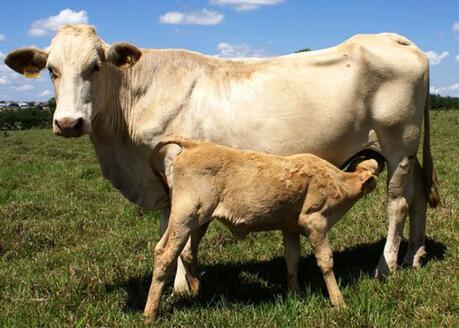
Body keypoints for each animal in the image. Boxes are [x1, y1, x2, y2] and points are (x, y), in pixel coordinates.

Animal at [5, 23, 440, 294]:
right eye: (52, 70)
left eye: (95, 66)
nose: (68, 122)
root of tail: (394, 39)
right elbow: (171, 225)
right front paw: (178, 282)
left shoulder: (175, 165)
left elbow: (179, 227)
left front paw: (179, 286)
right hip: (405, 151)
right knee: (418, 196)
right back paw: (415, 256)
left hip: (398, 142)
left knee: (397, 204)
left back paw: (386, 266)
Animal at [145, 135, 380, 320]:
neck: (338, 182)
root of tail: (194, 144)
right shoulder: (315, 221)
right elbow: (325, 261)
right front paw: (339, 302)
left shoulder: (290, 226)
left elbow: (292, 259)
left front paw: (295, 295)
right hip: (184, 214)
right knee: (165, 252)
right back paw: (149, 313)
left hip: (200, 219)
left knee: (187, 251)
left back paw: (197, 292)